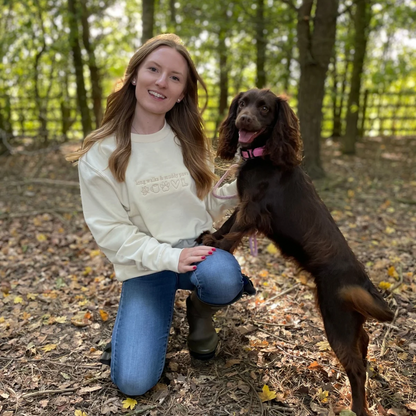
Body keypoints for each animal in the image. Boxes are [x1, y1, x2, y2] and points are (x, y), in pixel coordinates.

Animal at [200, 88, 394, 416]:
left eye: (265, 108)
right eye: (242, 103)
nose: (244, 119)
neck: (263, 155)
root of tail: (362, 282)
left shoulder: (253, 208)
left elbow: (233, 232)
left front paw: (216, 247)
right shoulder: (244, 203)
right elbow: (227, 224)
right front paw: (211, 236)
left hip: (336, 319)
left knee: (355, 369)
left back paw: (357, 408)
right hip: (350, 321)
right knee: (365, 342)